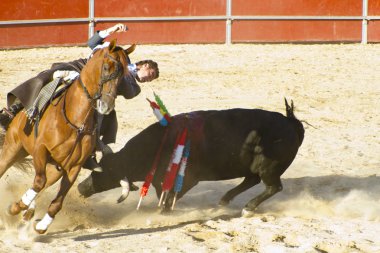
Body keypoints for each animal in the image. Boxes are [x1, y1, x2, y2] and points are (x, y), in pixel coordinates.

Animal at [0, 40, 132, 235]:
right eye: (107, 67)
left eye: (123, 74)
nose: (106, 105)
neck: (76, 121)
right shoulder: (40, 150)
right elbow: (38, 182)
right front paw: (16, 207)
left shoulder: (73, 167)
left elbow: (56, 201)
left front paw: (41, 225)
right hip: (13, 148)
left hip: (54, 168)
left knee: (45, 184)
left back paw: (30, 212)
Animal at [78, 100, 304, 214]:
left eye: (105, 175)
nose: (81, 187)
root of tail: (292, 123)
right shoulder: (161, 177)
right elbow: (161, 190)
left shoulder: (188, 179)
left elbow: (170, 196)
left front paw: (165, 210)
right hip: (255, 167)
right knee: (251, 180)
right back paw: (224, 200)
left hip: (269, 167)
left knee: (273, 187)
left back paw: (248, 208)